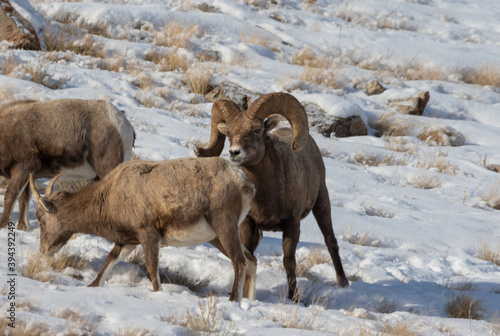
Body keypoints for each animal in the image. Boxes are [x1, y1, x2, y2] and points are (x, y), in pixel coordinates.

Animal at [0, 98, 135, 231]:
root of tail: (124, 125)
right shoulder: (28, 175)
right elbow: (23, 199)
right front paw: (22, 227)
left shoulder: (23, 168)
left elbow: (10, 196)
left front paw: (3, 226)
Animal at [29, 158, 256, 302]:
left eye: (40, 218)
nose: (44, 250)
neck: (110, 197)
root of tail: (245, 183)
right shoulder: (127, 242)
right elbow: (109, 262)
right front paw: (91, 287)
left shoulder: (148, 235)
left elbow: (152, 269)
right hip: (217, 236)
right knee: (251, 260)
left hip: (224, 226)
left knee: (239, 261)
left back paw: (233, 300)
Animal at [194, 91, 348, 300]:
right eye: (229, 133)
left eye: (257, 130)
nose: (234, 153)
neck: (267, 194)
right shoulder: (248, 224)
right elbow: (249, 256)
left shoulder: (292, 224)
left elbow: (289, 262)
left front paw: (293, 298)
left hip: (322, 203)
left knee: (330, 241)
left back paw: (343, 283)